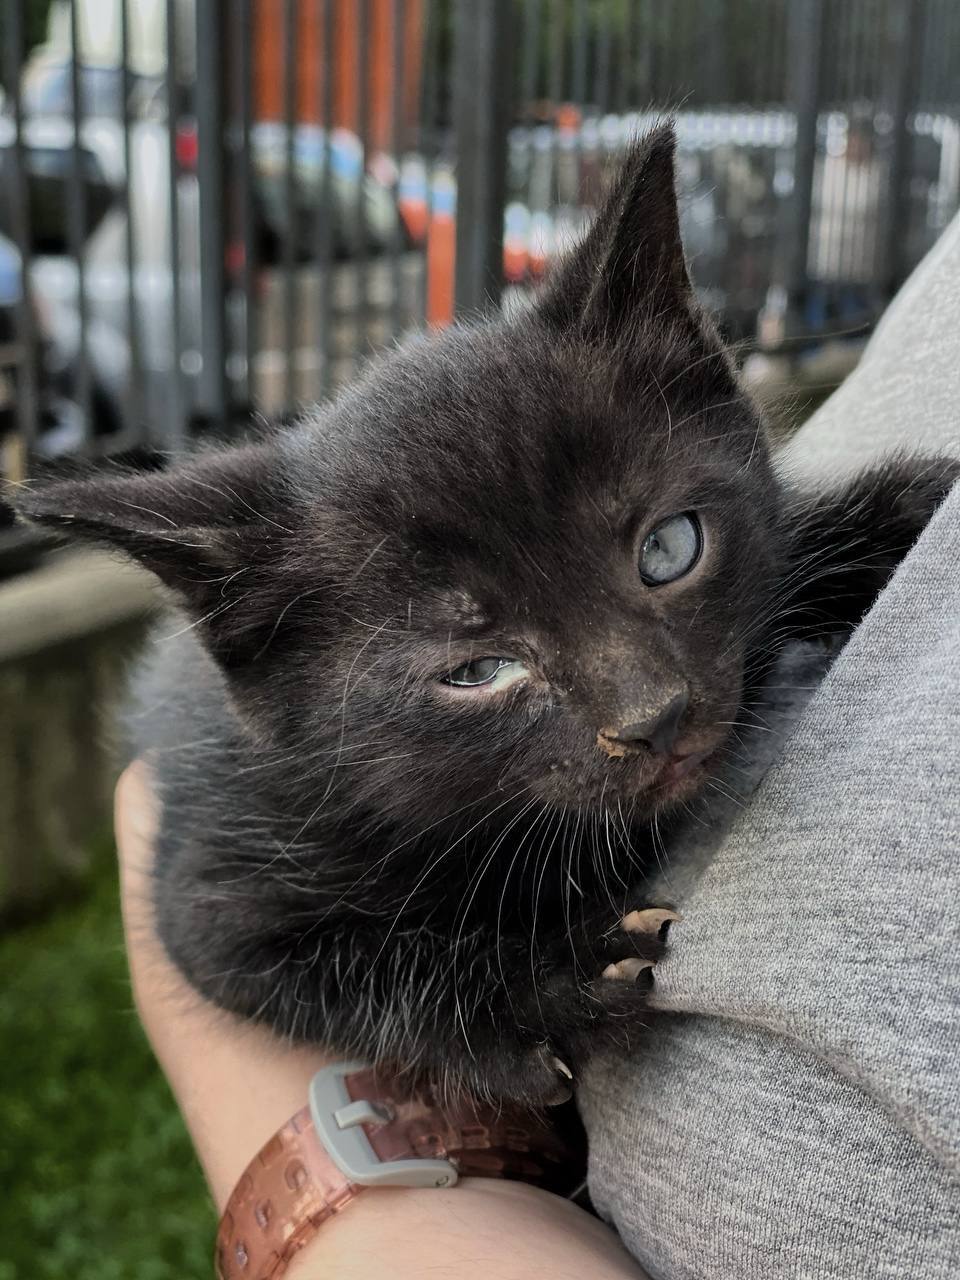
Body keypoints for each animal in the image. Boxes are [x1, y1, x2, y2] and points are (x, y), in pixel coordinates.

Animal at [16, 132, 960, 1111]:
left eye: (669, 548)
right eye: (476, 671)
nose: (653, 718)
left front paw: (903, 511)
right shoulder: (210, 899)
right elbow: (345, 964)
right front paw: (551, 979)